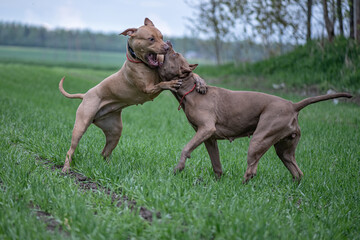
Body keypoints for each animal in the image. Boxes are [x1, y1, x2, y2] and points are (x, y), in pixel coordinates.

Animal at [59, 18, 205, 172]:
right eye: (151, 39)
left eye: (161, 36)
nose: (166, 46)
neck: (145, 65)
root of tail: (85, 94)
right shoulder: (148, 89)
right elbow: (161, 84)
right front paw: (171, 83)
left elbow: (191, 74)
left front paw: (200, 82)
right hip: (81, 124)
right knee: (71, 150)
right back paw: (66, 169)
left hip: (115, 130)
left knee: (105, 152)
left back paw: (109, 168)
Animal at [159, 42, 352, 183]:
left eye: (175, 55)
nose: (168, 43)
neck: (189, 90)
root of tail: (293, 104)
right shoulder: (209, 138)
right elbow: (216, 163)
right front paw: (217, 181)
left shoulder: (206, 129)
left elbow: (186, 148)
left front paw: (178, 168)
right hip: (284, 149)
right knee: (297, 171)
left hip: (259, 139)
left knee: (252, 169)